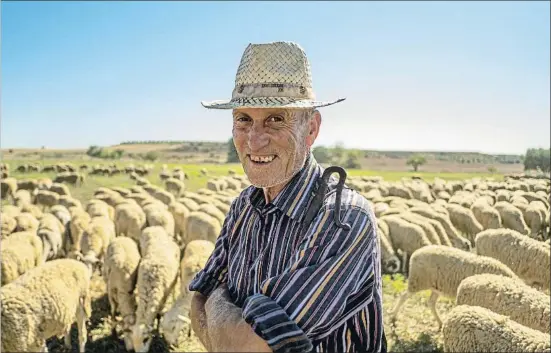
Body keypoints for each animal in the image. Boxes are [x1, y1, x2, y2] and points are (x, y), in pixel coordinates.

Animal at [390, 242, 520, 328]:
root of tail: (416, 253)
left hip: (436, 286)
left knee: (431, 302)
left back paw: (440, 323)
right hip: (418, 281)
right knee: (403, 296)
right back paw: (394, 317)